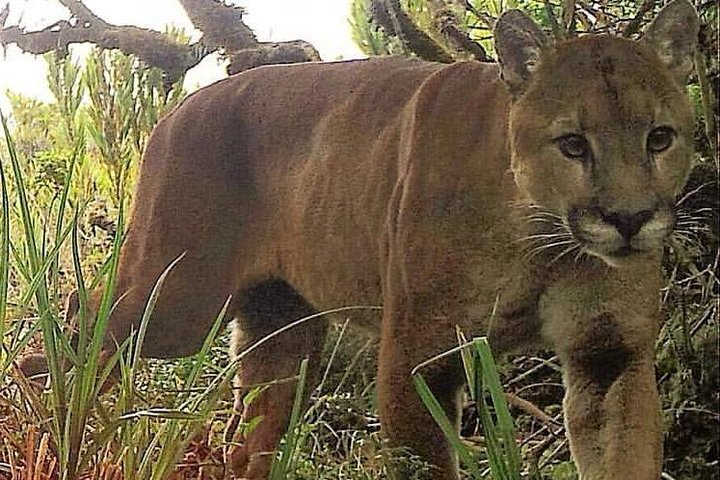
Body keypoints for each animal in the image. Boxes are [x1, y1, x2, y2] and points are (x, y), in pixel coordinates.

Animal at [21, 0, 696, 480]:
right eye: (573, 144)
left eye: (659, 138)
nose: (630, 219)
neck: (544, 242)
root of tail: (181, 107)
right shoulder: (421, 355)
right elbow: (421, 465)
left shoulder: (609, 355)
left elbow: (625, 457)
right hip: (178, 298)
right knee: (81, 322)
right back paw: (47, 417)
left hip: (281, 330)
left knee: (248, 440)